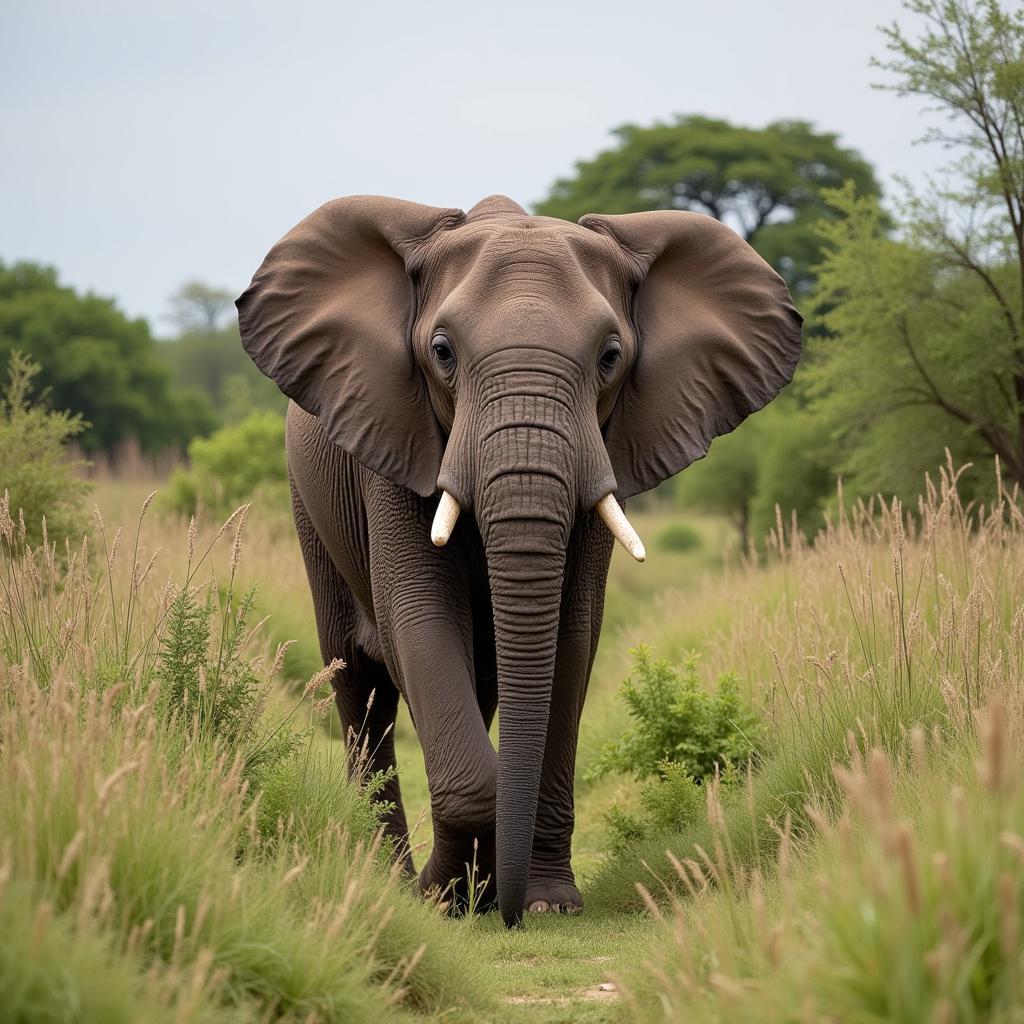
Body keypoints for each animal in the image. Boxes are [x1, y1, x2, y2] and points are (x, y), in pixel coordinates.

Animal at [235, 193, 802, 929]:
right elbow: (419, 618)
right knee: (359, 686)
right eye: (442, 352)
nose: (507, 912)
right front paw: (444, 897)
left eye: (611, 356)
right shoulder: (392, 438)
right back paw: (391, 882)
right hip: (310, 505)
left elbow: (572, 635)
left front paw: (546, 904)